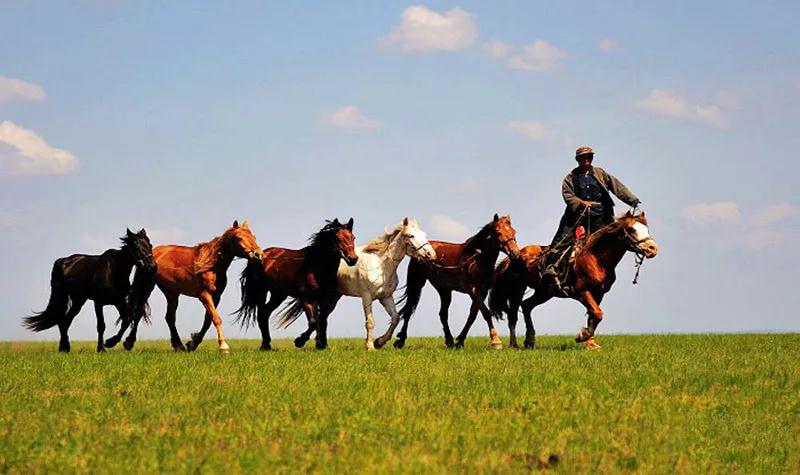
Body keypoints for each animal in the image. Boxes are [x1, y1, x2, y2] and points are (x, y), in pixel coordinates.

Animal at [23, 228, 156, 353]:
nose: (152, 266)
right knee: (64, 321)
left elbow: (126, 320)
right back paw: (64, 347)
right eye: (136, 247)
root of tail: (64, 261)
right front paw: (102, 348)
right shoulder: (98, 303)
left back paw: (64, 348)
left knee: (65, 321)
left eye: (150, 245)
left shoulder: (119, 301)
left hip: (79, 300)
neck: (114, 271)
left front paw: (113, 342)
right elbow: (101, 325)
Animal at [145, 220, 262, 353]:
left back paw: (179, 345)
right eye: (239, 238)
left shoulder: (216, 296)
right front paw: (223, 346)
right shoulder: (204, 295)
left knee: (170, 318)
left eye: (254, 237)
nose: (258, 254)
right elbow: (216, 318)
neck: (212, 266)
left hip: (172, 294)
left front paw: (192, 344)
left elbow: (208, 321)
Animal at [236, 218, 358, 351]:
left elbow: (322, 321)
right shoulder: (306, 298)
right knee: (261, 314)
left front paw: (322, 345)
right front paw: (299, 341)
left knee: (265, 313)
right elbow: (314, 322)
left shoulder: (326, 300)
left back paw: (267, 345)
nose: (353, 259)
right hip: (261, 291)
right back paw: (265, 345)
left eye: (353, 237)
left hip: (278, 294)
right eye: (338, 238)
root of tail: (259, 256)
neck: (316, 267)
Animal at [393, 214, 520, 350]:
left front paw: (460, 341)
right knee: (409, 309)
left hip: (444, 290)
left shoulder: (483, 292)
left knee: (443, 314)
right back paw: (400, 341)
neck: (477, 259)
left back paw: (449, 341)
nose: (515, 253)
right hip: (417, 283)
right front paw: (496, 341)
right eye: (498, 233)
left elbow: (472, 316)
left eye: (513, 232)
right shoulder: (473, 291)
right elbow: (486, 313)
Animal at [489, 211, 659, 350]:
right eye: (631, 229)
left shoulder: (599, 294)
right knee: (513, 314)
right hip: (518, 289)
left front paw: (590, 342)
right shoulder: (583, 291)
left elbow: (594, 316)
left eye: (646, 229)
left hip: (545, 292)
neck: (596, 258)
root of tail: (514, 255)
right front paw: (581, 336)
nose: (652, 248)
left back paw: (529, 340)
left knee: (526, 306)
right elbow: (597, 314)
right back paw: (514, 344)